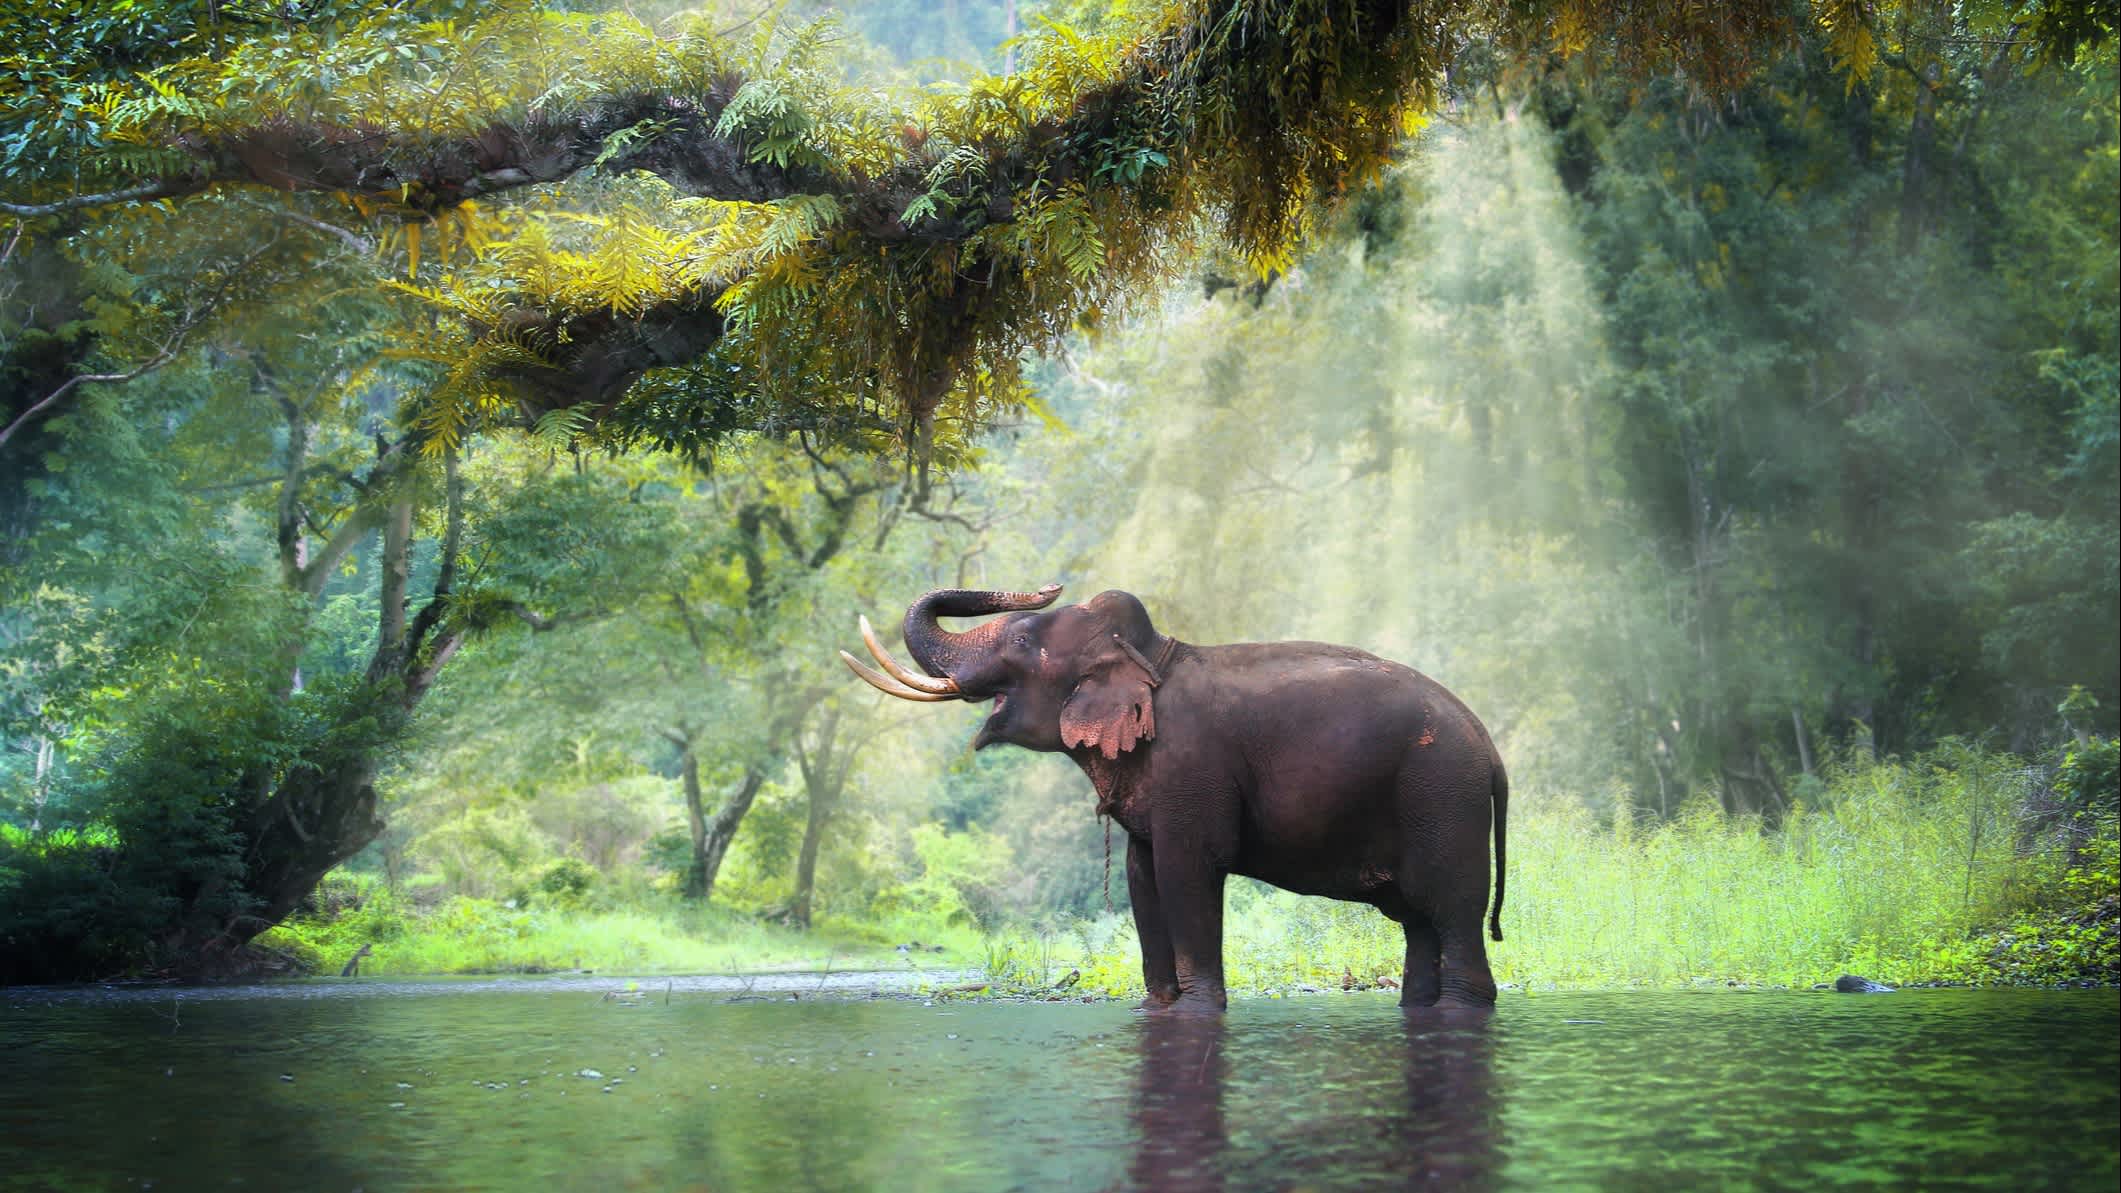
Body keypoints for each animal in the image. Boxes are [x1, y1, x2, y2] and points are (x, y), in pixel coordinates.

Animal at [844, 581, 1510, 1006]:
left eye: (1024, 642)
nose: (1048, 584)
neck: (1152, 654)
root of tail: (1491, 750)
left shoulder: (1193, 768)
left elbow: (1189, 870)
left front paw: (1198, 1008)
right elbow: (1143, 879)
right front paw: (1160, 1005)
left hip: (1442, 798)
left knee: (1452, 911)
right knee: (1419, 924)